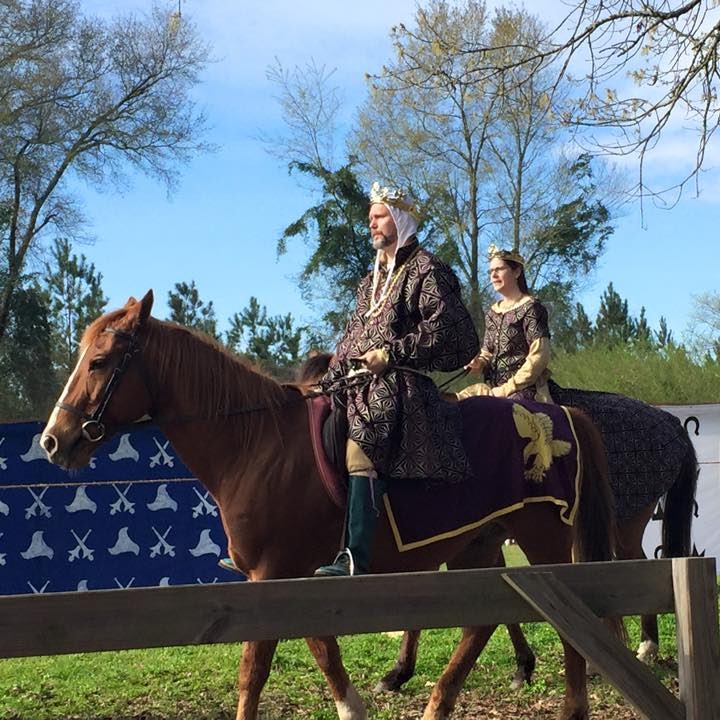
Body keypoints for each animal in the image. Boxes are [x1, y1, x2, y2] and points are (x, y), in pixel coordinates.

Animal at [39, 292, 616, 720]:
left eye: (99, 362)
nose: (53, 440)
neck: (257, 443)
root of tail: (558, 416)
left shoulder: (273, 575)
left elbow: (254, 670)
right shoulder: (294, 577)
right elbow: (321, 648)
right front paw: (354, 705)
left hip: (541, 538)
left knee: (569, 625)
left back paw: (571, 708)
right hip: (475, 545)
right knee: (479, 625)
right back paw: (437, 704)